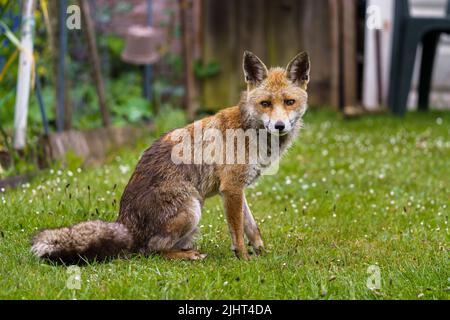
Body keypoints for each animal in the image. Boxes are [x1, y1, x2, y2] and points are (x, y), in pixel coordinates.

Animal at [31, 50, 312, 262]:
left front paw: (262, 253)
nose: (279, 126)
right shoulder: (231, 187)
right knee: (150, 251)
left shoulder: (235, 189)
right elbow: (237, 232)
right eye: (265, 104)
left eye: (289, 102)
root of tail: (125, 224)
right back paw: (187, 255)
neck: (250, 131)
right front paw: (244, 260)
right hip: (192, 208)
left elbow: (251, 227)